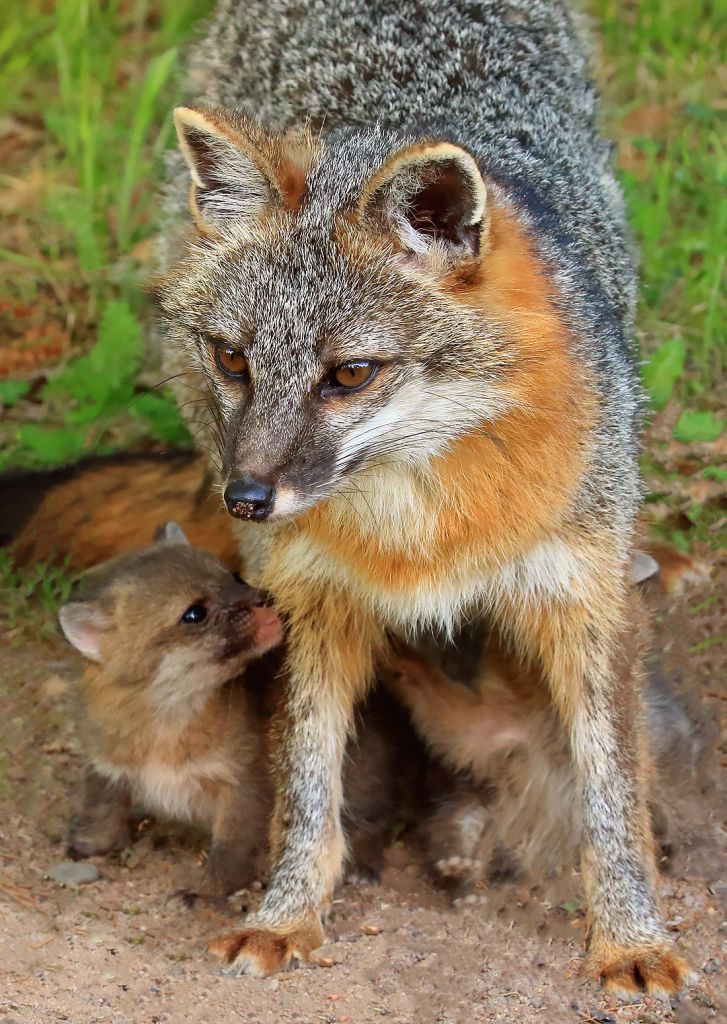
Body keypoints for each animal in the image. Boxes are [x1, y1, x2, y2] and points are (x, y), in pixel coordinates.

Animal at [155, 0, 696, 995]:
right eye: (234, 359)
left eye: (349, 374)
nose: (246, 499)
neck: (420, 525)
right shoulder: (311, 602)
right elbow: (306, 780)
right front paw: (286, 913)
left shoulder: (582, 599)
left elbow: (611, 793)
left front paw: (632, 937)